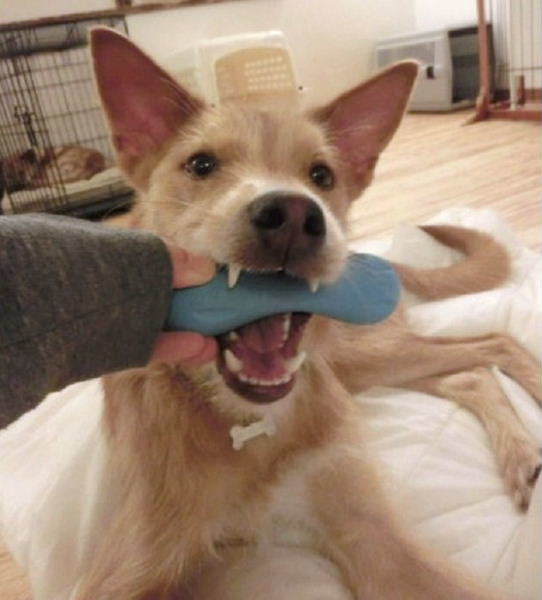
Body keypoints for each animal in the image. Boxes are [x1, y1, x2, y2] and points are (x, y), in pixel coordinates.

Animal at [78, 28, 542, 599]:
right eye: (202, 165)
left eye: (322, 175)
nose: (294, 216)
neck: (250, 426)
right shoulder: (125, 571)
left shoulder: (371, 533)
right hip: (361, 367)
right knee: (471, 372)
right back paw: (520, 454)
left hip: (358, 357)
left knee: (494, 344)